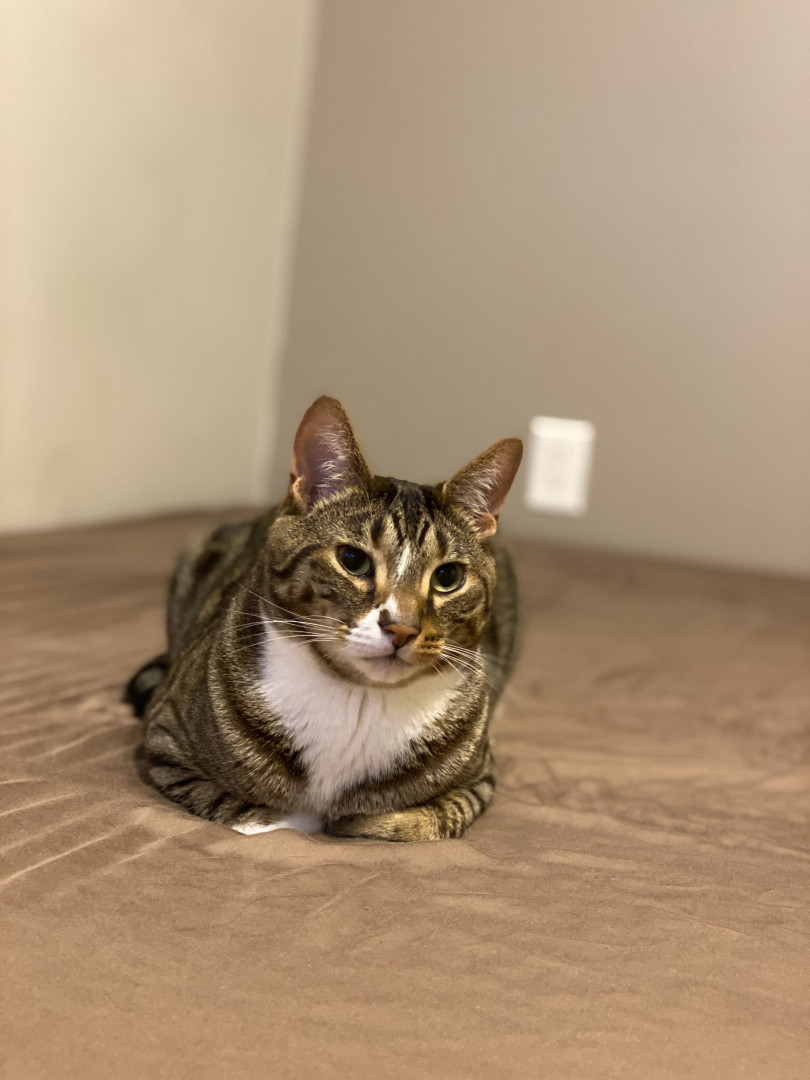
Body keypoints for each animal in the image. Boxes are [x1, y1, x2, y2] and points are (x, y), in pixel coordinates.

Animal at [127, 396, 522, 841]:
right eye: (353, 560)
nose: (402, 628)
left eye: (448, 577)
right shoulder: (166, 745)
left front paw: (358, 819)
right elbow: (258, 819)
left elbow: (422, 822)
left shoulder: (480, 780)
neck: (360, 700)